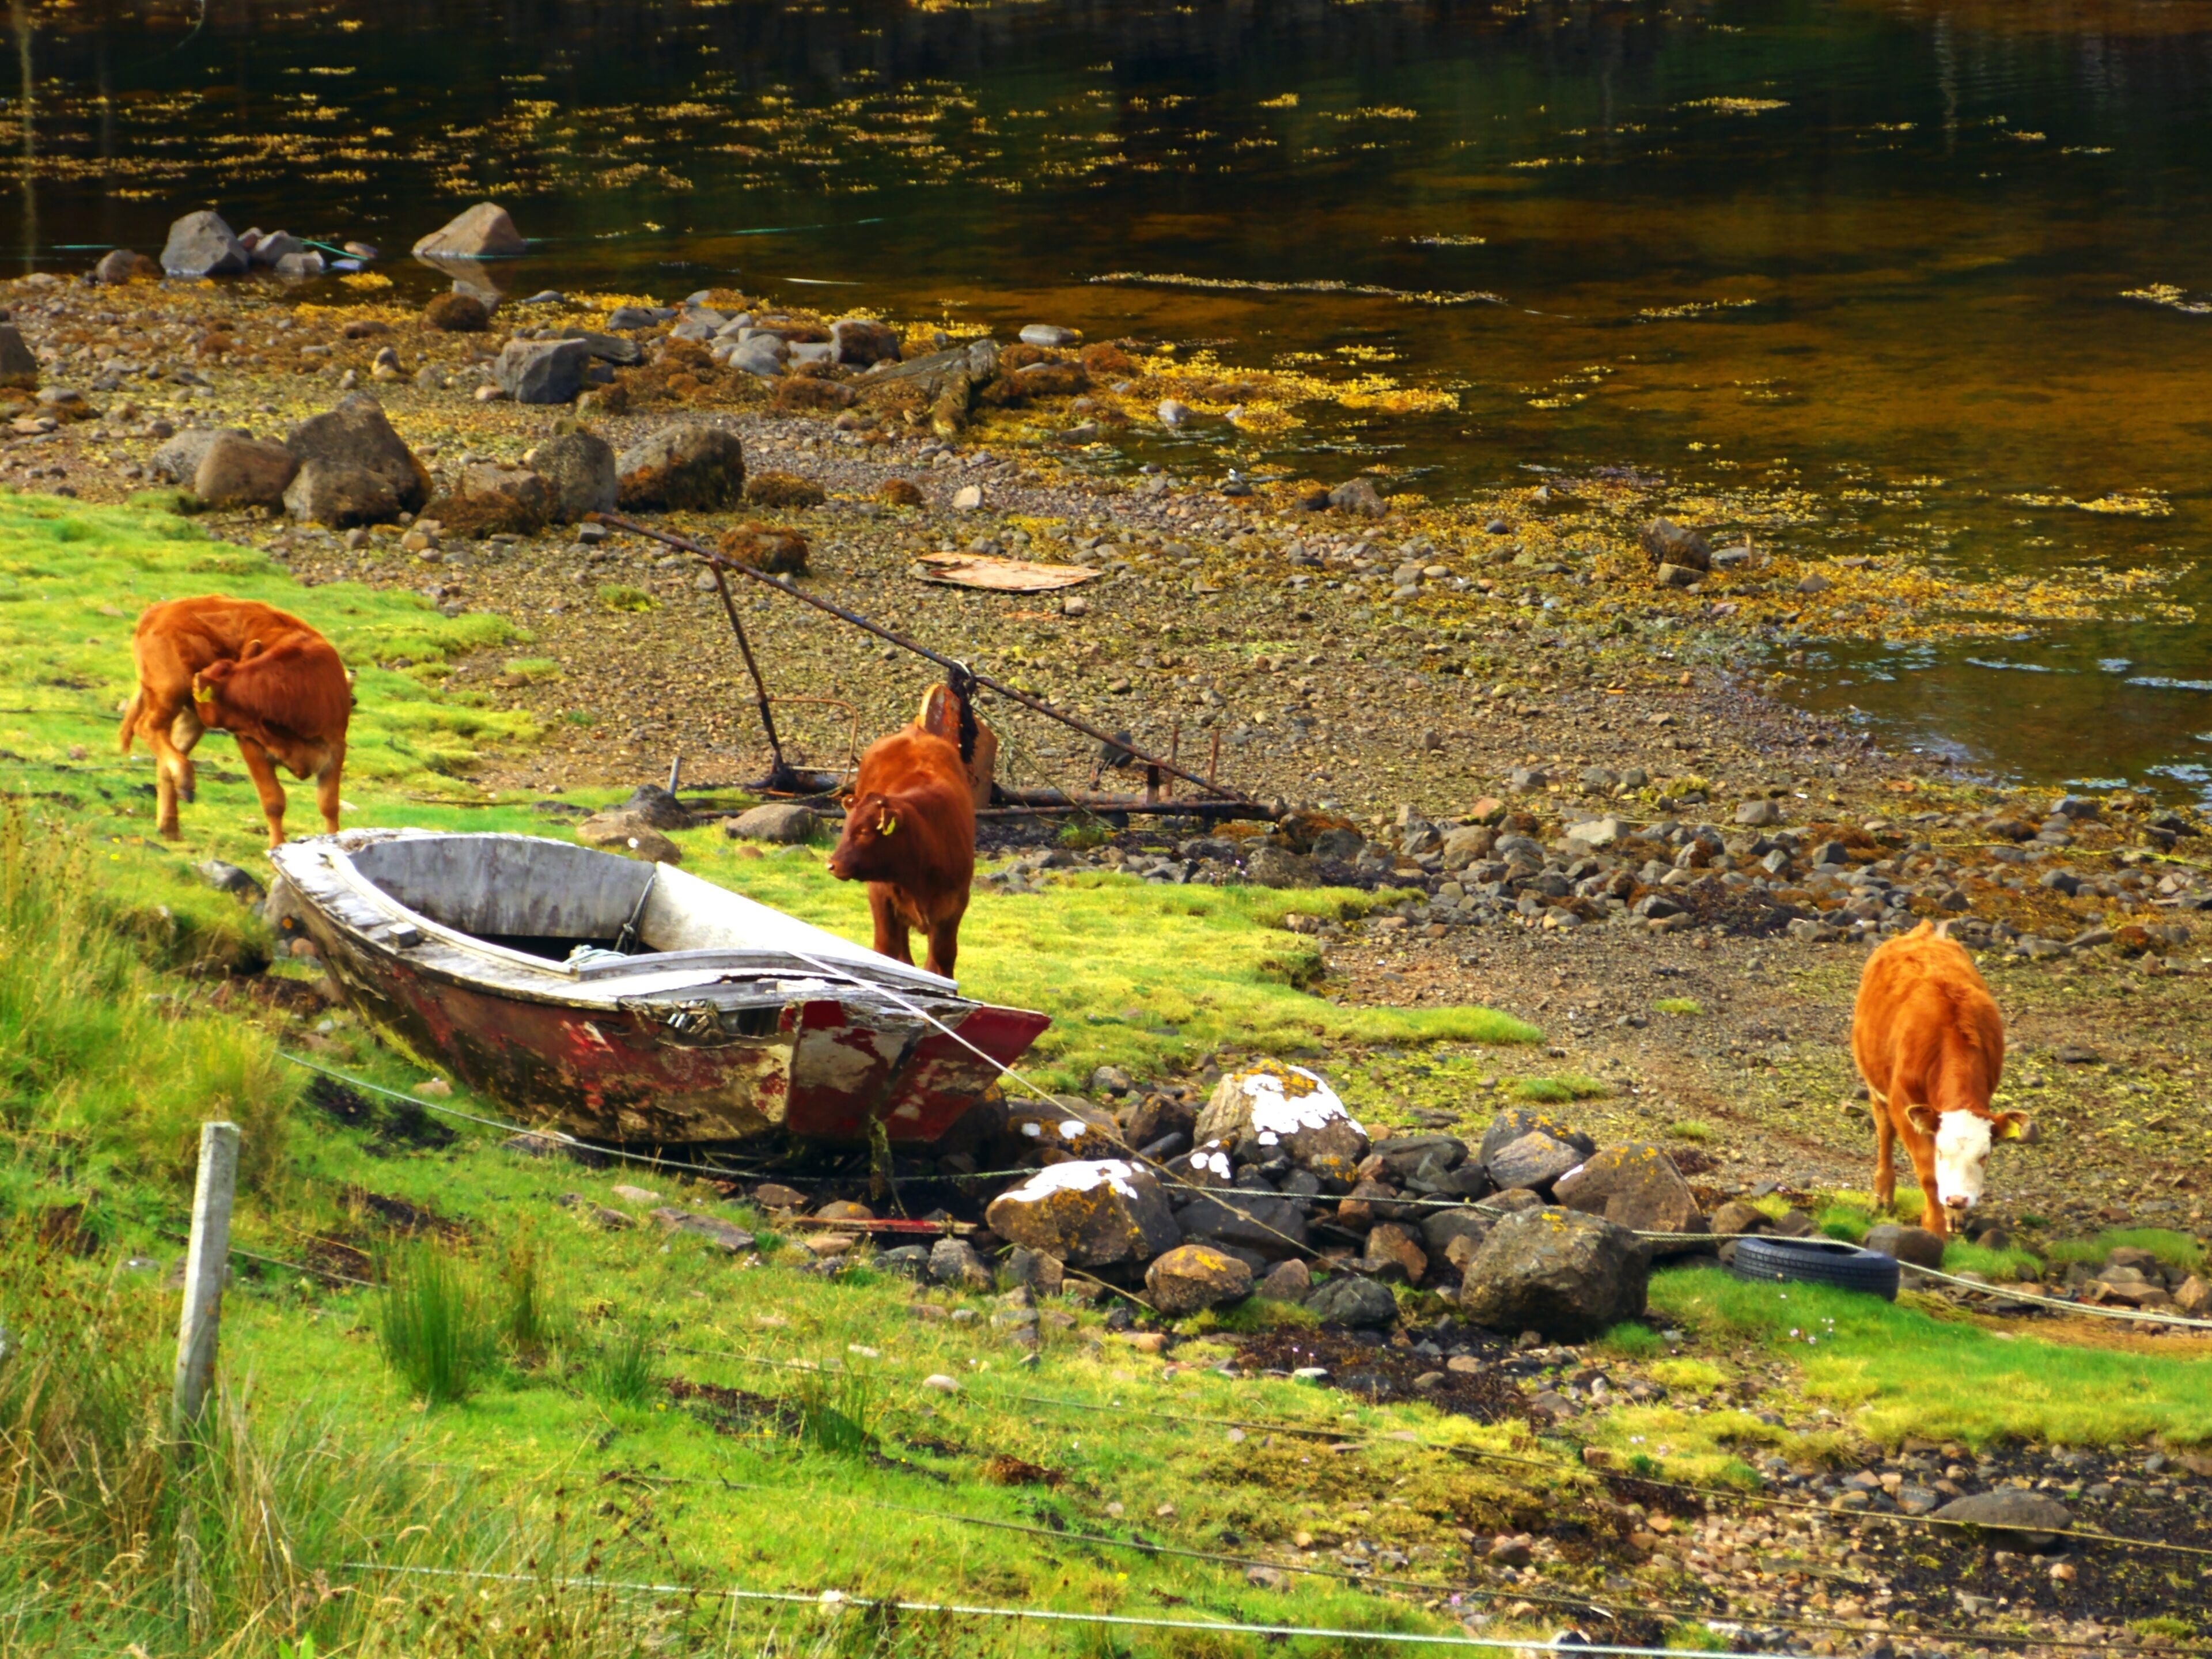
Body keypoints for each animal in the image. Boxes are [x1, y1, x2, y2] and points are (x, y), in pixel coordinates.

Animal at [120, 596, 351, 846]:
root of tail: (160, 608)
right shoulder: (251, 744)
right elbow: (273, 802)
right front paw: (277, 848)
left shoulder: (335, 747)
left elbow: (329, 805)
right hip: (170, 690)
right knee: (148, 727)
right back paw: (185, 782)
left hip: (188, 715)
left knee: (170, 753)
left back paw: (170, 824)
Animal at [828, 712, 976, 981]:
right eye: (845, 829)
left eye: (864, 832)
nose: (832, 865)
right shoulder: (881, 897)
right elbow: (886, 950)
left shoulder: (955, 904)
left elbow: (943, 957)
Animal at [1852, 920, 2028, 1239]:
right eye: (1941, 1152)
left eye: (1985, 1156)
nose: (1957, 1199)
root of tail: (1924, 932)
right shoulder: (1904, 1104)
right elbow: (1928, 1174)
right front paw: (1934, 1227)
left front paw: (1953, 1216)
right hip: (1875, 1083)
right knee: (1884, 1130)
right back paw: (1883, 1195)